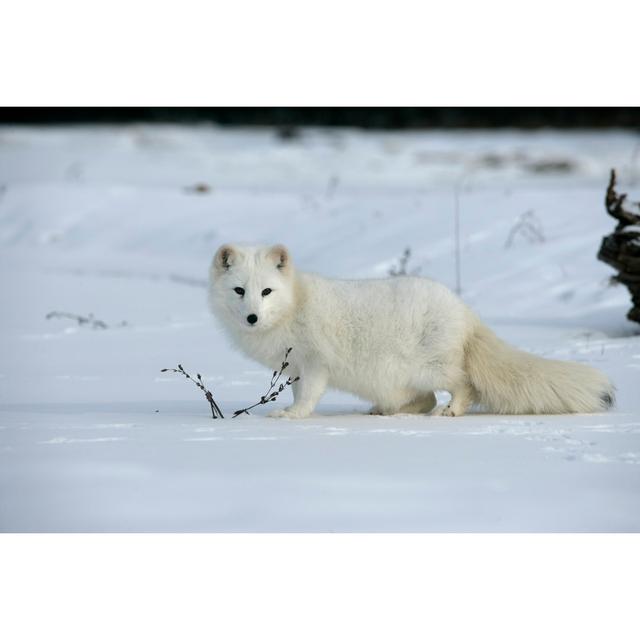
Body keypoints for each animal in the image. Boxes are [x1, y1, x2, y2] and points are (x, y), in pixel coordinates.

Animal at [209, 242, 616, 418]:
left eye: (266, 291)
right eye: (240, 291)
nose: (252, 318)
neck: (295, 305)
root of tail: (465, 312)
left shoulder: (316, 364)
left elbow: (308, 398)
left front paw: (291, 417)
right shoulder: (294, 368)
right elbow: (298, 393)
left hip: (430, 366)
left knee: (461, 386)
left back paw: (451, 411)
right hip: (396, 376)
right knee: (425, 399)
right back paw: (388, 412)